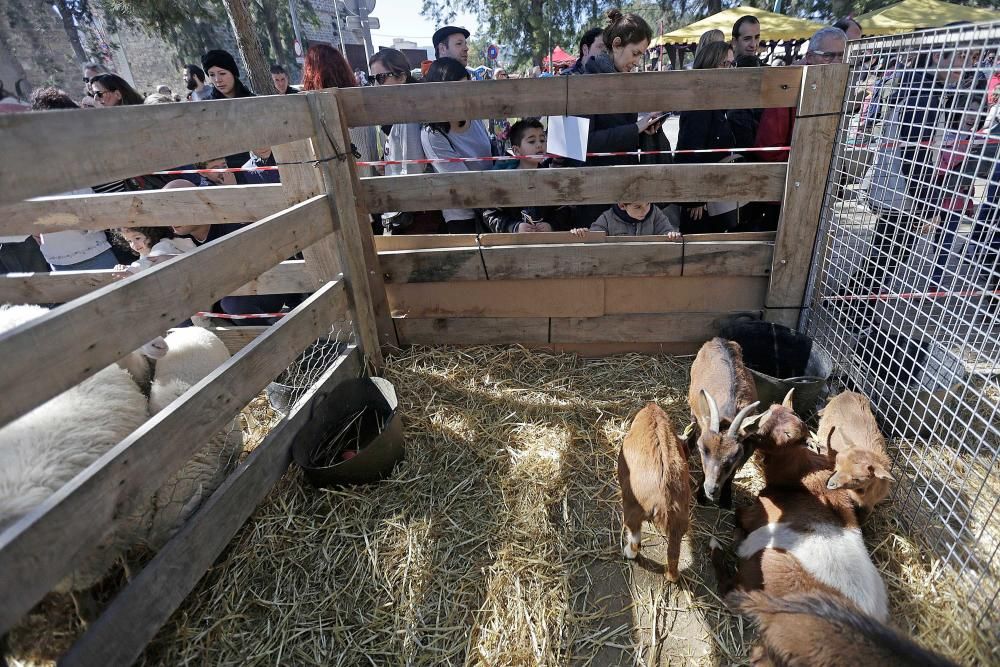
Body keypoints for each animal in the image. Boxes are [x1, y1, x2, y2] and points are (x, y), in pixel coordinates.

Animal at [616, 402, 688, 580]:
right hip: (680, 522)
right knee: (673, 553)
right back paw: (671, 576)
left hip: (631, 510)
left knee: (635, 539)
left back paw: (628, 552)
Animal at [688, 336, 756, 508]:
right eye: (702, 448)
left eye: (736, 454)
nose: (711, 489)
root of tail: (718, 339)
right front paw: (700, 496)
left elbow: (731, 475)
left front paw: (725, 499)